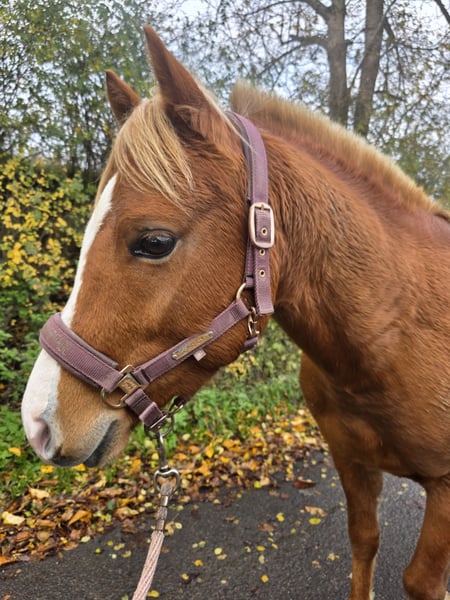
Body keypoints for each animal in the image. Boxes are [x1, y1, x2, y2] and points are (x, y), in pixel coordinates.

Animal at [21, 26, 449, 600]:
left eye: (154, 241)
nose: (38, 423)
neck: (397, 332)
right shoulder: (351, 462)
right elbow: (365, 542)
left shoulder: (444, 491)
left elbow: (421, 580)